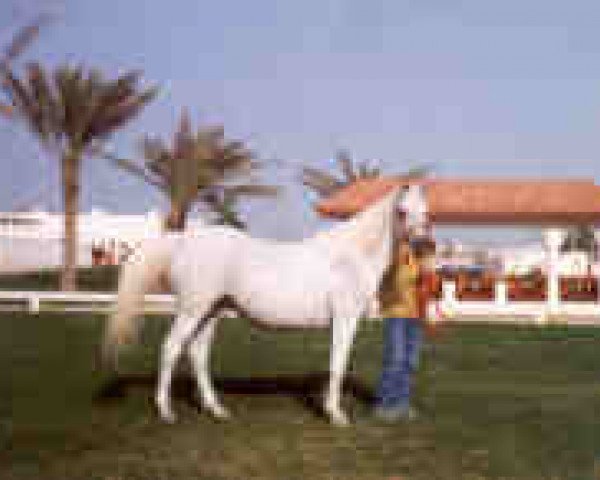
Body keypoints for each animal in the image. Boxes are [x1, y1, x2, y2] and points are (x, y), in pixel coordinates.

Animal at [103, 183, 428, 424]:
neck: (349, 256)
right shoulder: (345, 319)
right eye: (401, 211)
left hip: (211, 312)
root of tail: (183, 241)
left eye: (426, 211)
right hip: (192, 309)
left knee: (197, 354)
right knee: (171, 348)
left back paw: (216, 410)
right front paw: (335, 415)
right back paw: (166, 412)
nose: (424, 245)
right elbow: (338, 364)